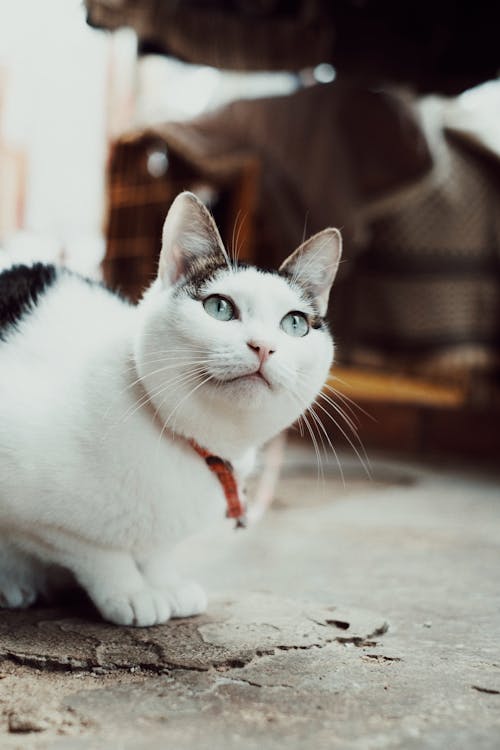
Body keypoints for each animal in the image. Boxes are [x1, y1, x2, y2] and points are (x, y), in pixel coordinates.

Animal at [0, 191, 340, 624]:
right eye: (219, 308)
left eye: (294, 324)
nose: (263, 346)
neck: (188, 447)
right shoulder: (37, 515)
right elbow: (97, 550)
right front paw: (131, 591)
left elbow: (157, 551)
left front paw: (164, 582)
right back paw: (13, 587)